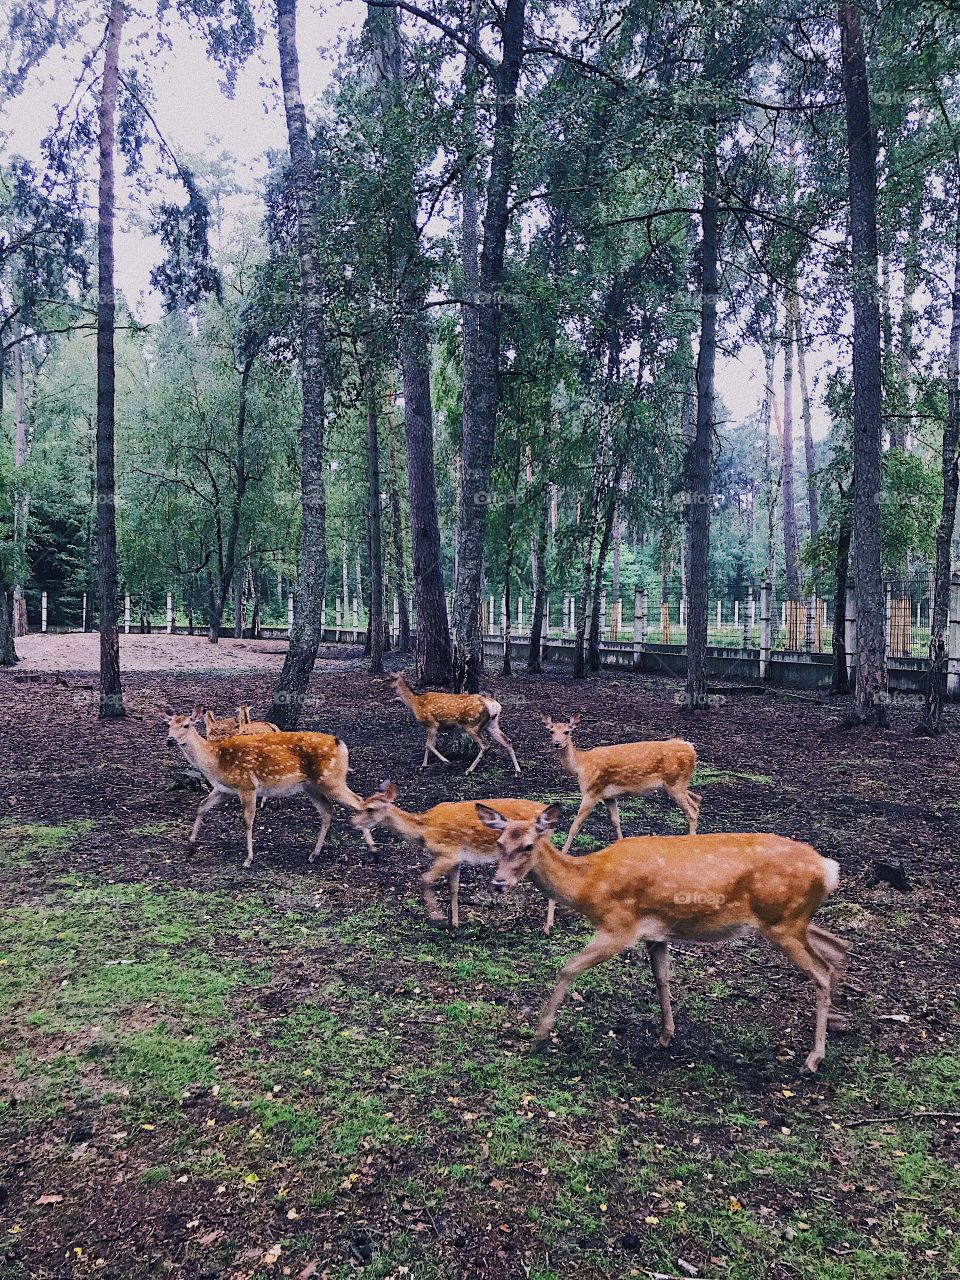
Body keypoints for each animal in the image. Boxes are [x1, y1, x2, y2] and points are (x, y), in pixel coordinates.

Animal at [164, 708, 375, 868]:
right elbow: (202, 806)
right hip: (312, 786)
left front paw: (248, 859)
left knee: (359, 801)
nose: (170, 740)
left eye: (186, 725)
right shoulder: (224, 789)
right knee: (328, 810)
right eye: (168, 725)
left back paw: (372, 849)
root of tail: (342, 745)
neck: (215, 763)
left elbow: (247, 821)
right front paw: (190, 844)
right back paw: (314, 854)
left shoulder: (247, 785)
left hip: (332, 780)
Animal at [351, 781, 553, 930]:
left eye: (370, 809)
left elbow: (424, 878)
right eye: (363, 803)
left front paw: (437, 916)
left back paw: (547, 926)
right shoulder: (457, 859)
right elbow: (453, 888)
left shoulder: (449, 854)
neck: (423, 830)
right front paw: (454, 924)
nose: (352, 822)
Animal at [390, 671, 521, 776]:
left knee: (485, 745)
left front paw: (444, 761)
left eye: (390, 677)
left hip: (472, 725)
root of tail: (495, 706)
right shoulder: (435, 727)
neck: (415, 703)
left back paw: (469, 770)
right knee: (507, 740)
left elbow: (428, 745)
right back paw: (517, 770)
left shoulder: (432, 724)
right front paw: (423, 766)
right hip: (492, 724)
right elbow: (429, 745)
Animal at [476, 803, 850, 1073]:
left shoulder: (619, 926)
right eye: (498, 843)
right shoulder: (655, 933)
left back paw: (813, 1059)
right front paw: (666, 1035)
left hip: (782, 922)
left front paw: (539, 1036)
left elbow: (567, 968)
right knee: (838, 948)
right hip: (790, 921)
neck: (588, 885)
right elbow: (661, 978)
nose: (498, 883)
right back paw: (836, 1024)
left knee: (820, 972)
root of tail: (829, 869)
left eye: (527, 846)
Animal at [541, 714, 701, 852]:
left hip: (675, 783)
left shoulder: (591, 791)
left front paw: (563, 852)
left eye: (567, 731)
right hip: (674, 785)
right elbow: (615, 821)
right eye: (551, 731)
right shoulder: (609, 796)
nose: (557, 743)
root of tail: (691, 748)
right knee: (696, 800)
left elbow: (575, 826)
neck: (581, 765)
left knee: (692, 811)